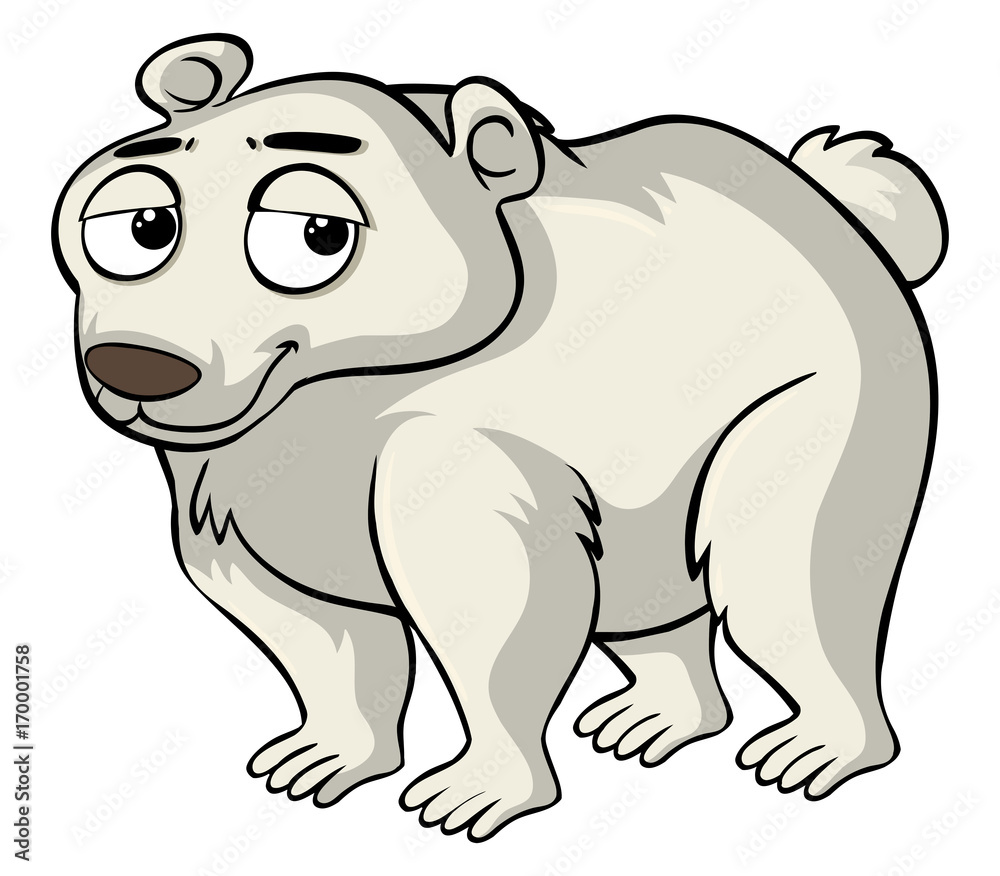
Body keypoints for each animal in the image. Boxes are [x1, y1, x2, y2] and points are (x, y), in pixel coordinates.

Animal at [52, 33, 946, 841]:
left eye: (315, 234)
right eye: (141, 224)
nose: (138, 364)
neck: (323, 400)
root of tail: (828, 204)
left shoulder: (455, 455)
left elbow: (493, 616)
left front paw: (473, 794)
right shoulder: (230, 491)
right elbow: (316, 634)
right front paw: (322, 758)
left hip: (814, 390)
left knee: (782, 570)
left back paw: (814, 749)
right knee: (647, 594)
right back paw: (652, 717)